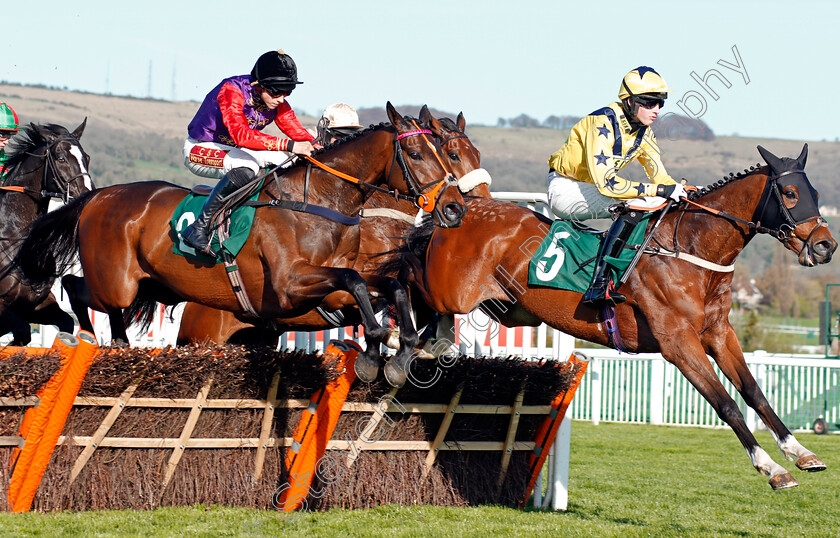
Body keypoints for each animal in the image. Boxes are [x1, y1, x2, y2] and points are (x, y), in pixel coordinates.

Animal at [0, 119, 92, 342]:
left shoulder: (36, 304)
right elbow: (22, 332)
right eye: (60, 158)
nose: (87, 196)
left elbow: (66, 322)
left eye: (86, 158)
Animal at [400, 144, 832, 488]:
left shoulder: (719, 334)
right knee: (404, 276)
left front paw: (800, 452)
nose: (826, 246)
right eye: (790, 193)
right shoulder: (678, 343)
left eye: (816, 193)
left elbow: (754, 392)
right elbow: (725, 403)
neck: (692, 252)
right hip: (449, 292)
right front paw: (771, 468)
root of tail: (459, 210)